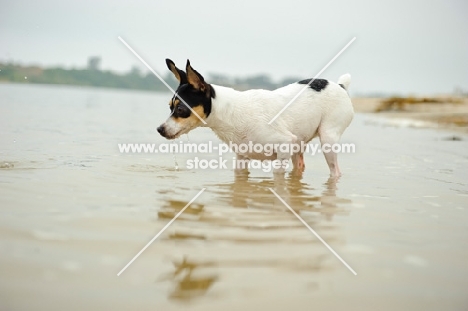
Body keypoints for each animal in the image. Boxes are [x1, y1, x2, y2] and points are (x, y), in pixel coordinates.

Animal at [155, 59, 352, 177]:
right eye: (170, 107)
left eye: (180, 109)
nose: (160, 129)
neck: (231, 112)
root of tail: (340, 86)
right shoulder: (242, 159)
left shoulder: (284, 146)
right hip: (298, 149)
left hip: (327, 140)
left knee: (336, 171)